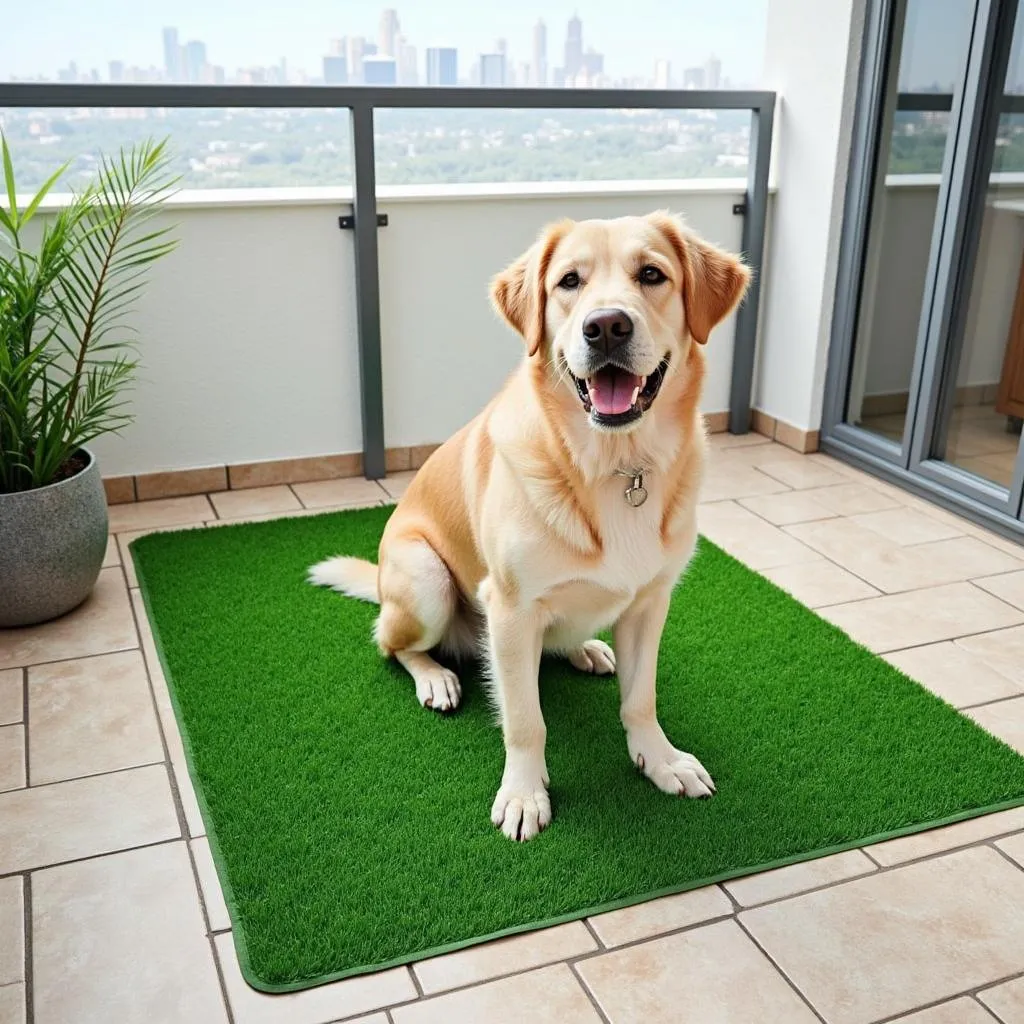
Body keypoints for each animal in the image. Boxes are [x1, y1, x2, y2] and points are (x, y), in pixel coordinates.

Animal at [307, 211, 749, 843]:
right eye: (569, 282)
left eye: (651, 274)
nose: (606, 327)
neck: (616, 465)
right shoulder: (510, 609)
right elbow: (524, 721)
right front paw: (523, 794)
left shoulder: (650, 601)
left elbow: (641, 699)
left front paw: (660, 760)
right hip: (425, 580)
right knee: (391, 644)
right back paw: (435, 677)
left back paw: (587, 649)